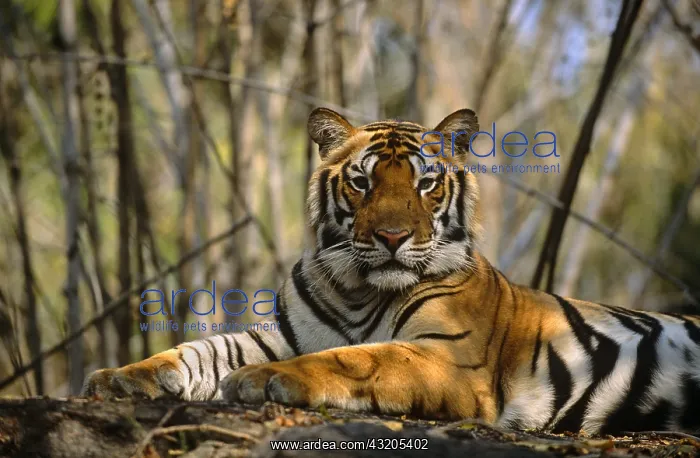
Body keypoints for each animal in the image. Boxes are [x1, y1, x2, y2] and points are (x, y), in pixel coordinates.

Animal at [82, 107, 700, 435]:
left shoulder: (448, 357)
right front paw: (121, 376)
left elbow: (356, 358)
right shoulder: (280, 333)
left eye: (425, 184)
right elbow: (200, 350)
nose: (393, 237)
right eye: (363, 181)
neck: (358, 291)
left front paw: (262, 380)